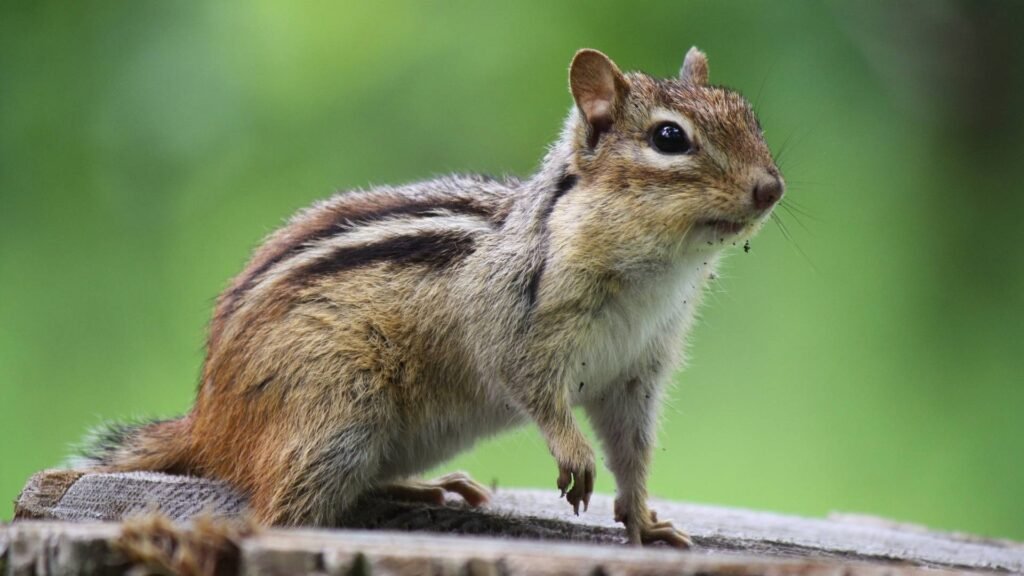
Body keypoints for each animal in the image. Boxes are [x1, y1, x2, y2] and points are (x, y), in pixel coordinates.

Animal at [75, 47, 783, 548]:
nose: (771, 188)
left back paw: (425, 489)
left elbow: (632, 450)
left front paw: (643, 521)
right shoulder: (512, 323)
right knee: (275, 513)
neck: (656, 275)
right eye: (670, 139)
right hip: (335, 416)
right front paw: (574, 454)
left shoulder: (637, 371)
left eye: (750, 117)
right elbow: (531, 387)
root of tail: (207, 422)